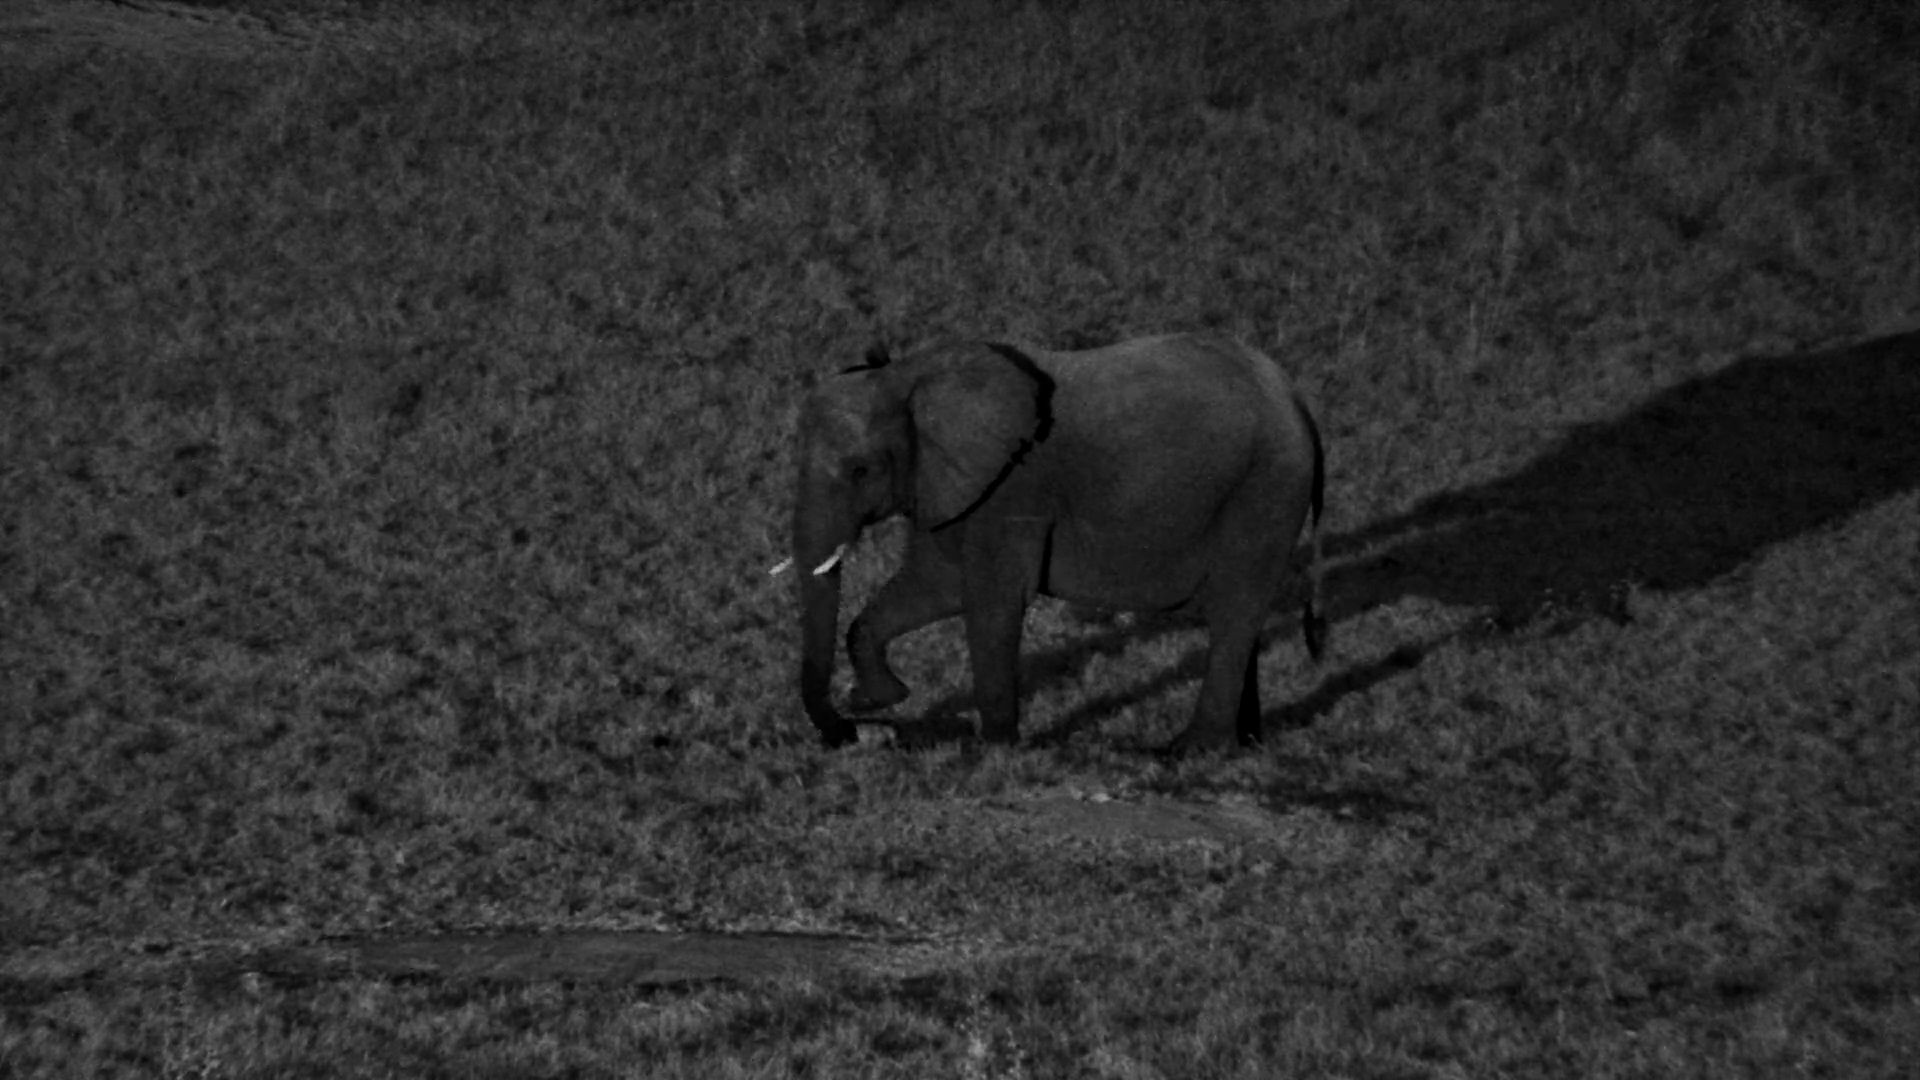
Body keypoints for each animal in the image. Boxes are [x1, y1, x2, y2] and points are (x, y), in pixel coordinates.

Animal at [781, 332, 1326, 752]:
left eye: (861, 470)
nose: (850, 731)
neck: (910, 375)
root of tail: (1298, 401)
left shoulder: (1013, 488)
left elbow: (993, 602)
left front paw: (994, 749)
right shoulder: (950, 485)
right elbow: (935, 585)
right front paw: (884, 696)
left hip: (1265, 491)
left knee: (1234, 611)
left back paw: (1188, 751)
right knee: (1240, 617)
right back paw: (1246, 744)